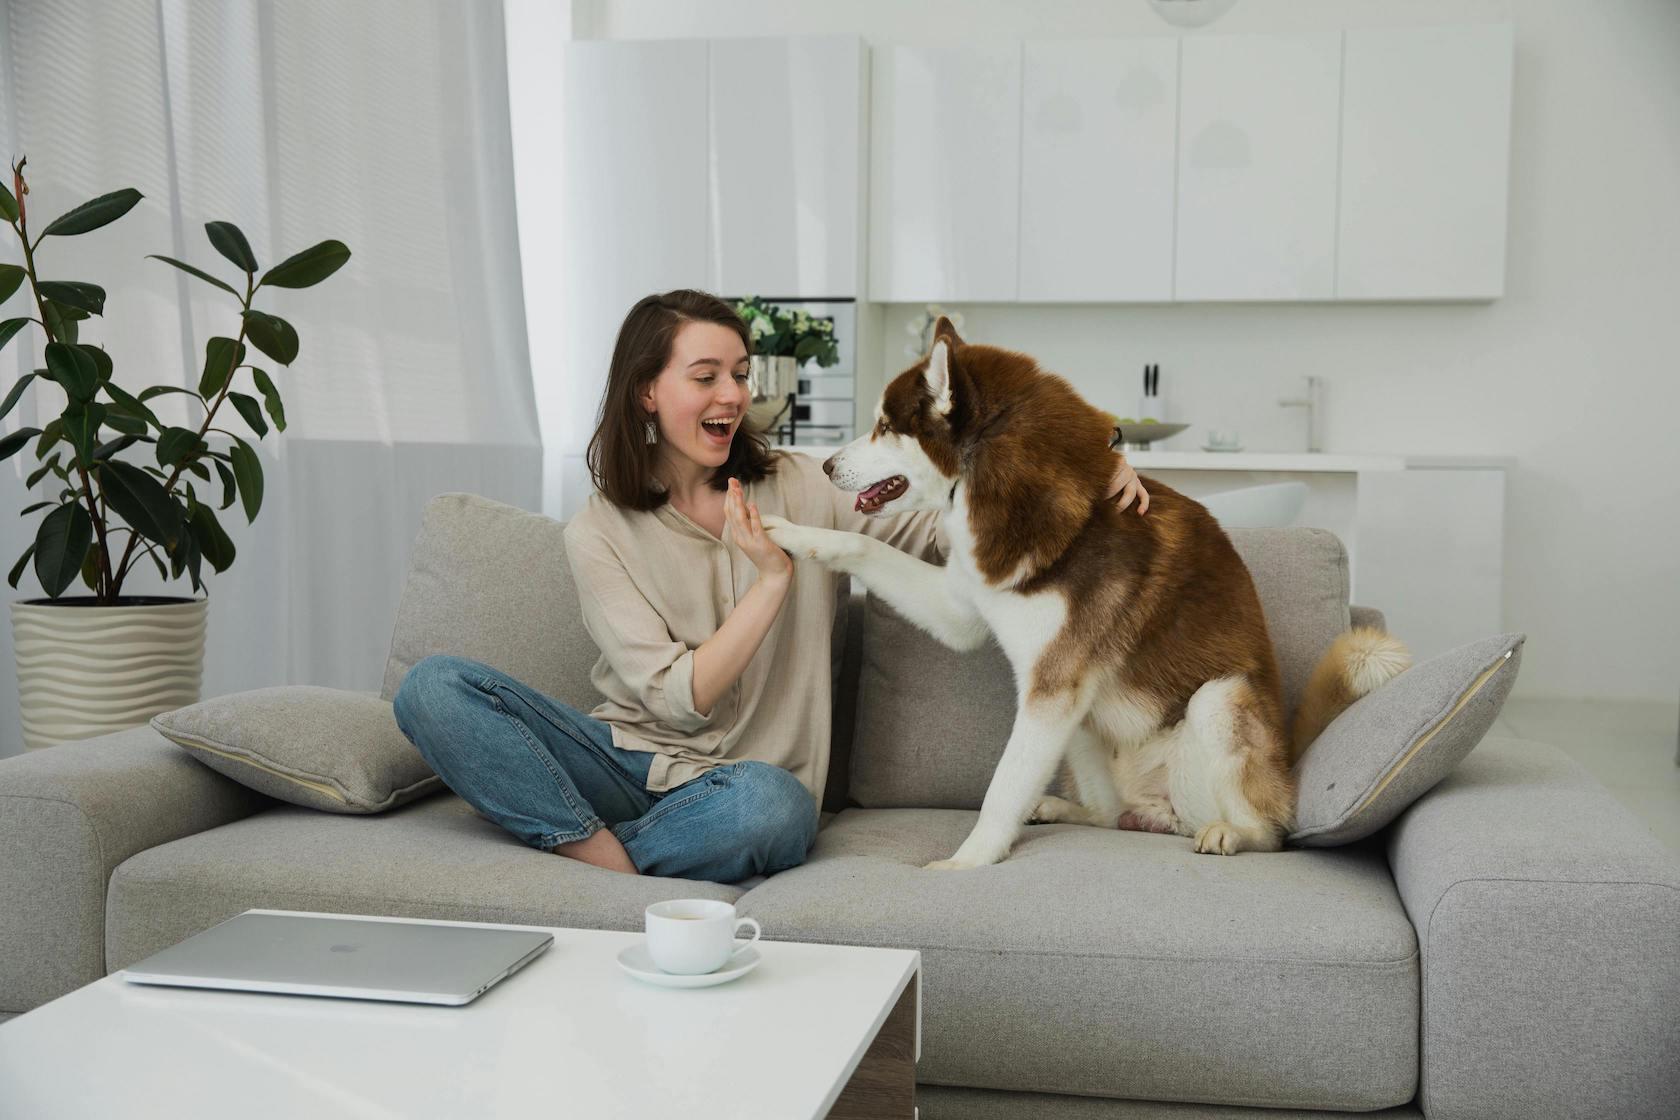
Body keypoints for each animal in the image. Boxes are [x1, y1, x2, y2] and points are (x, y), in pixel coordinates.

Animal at [762, 319, 1404, 873]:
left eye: (884, 427)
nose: (825, 464)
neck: (997, 485)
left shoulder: (1051, 690)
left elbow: (1000, 789)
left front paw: (966, 863)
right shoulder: (965, 613)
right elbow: (859, 544)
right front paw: (787, 532)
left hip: (1219, 702)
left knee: (1271, 830)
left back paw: (1234, 833)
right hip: (1087, 731)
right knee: (1109, 815)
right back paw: (1062, 808)